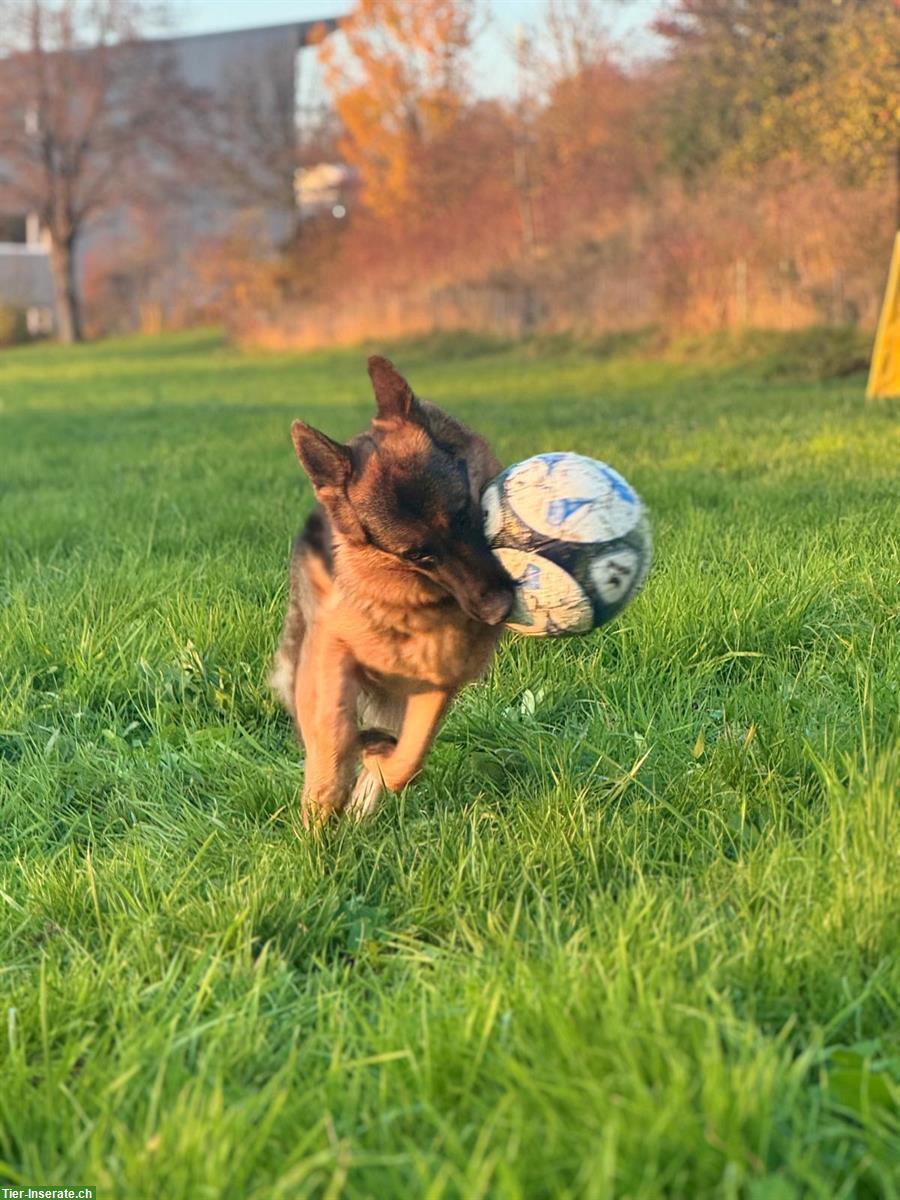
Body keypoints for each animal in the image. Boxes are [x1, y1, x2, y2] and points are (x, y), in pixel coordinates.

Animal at [270, 355, 513, 825]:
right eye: (417, 554)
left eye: (464, 512)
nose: (499, 609)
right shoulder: (330, 654)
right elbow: (333, 735)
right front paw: (323, 811)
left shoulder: (436, 681)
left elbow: (408, 759)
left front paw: (377, 769)